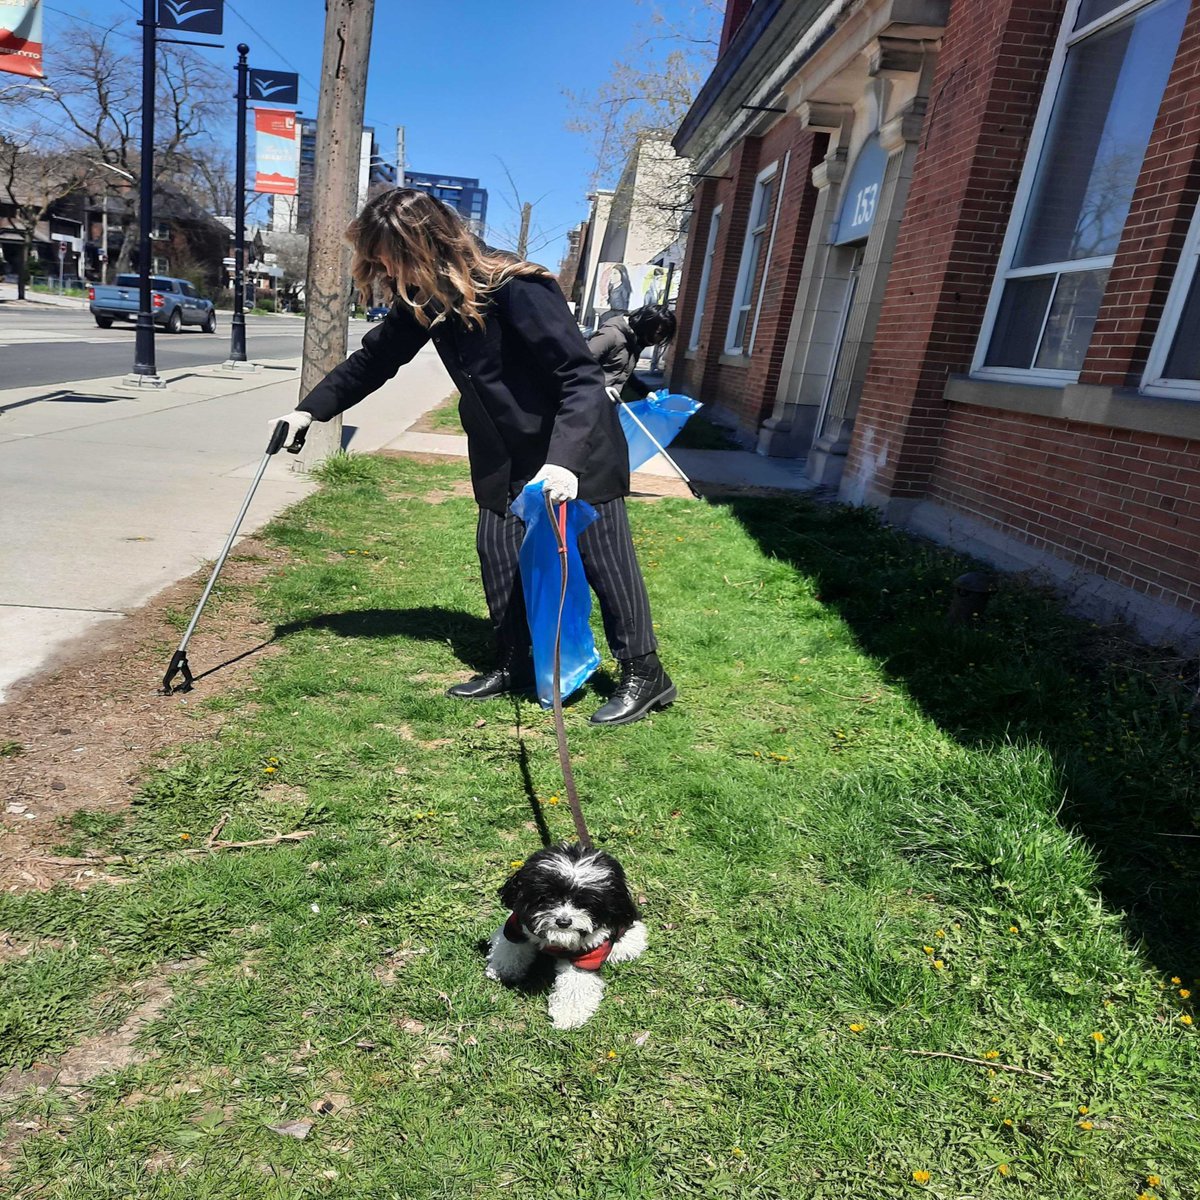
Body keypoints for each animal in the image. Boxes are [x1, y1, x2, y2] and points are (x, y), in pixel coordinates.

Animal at [484, 840, 648, 1027]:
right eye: (547, 897)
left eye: (586, 903)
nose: (563, 922)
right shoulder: (516, 927)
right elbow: (510, 949)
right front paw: (502, 969)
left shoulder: (586, 955)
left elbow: (575, 984)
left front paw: (567, 1015)